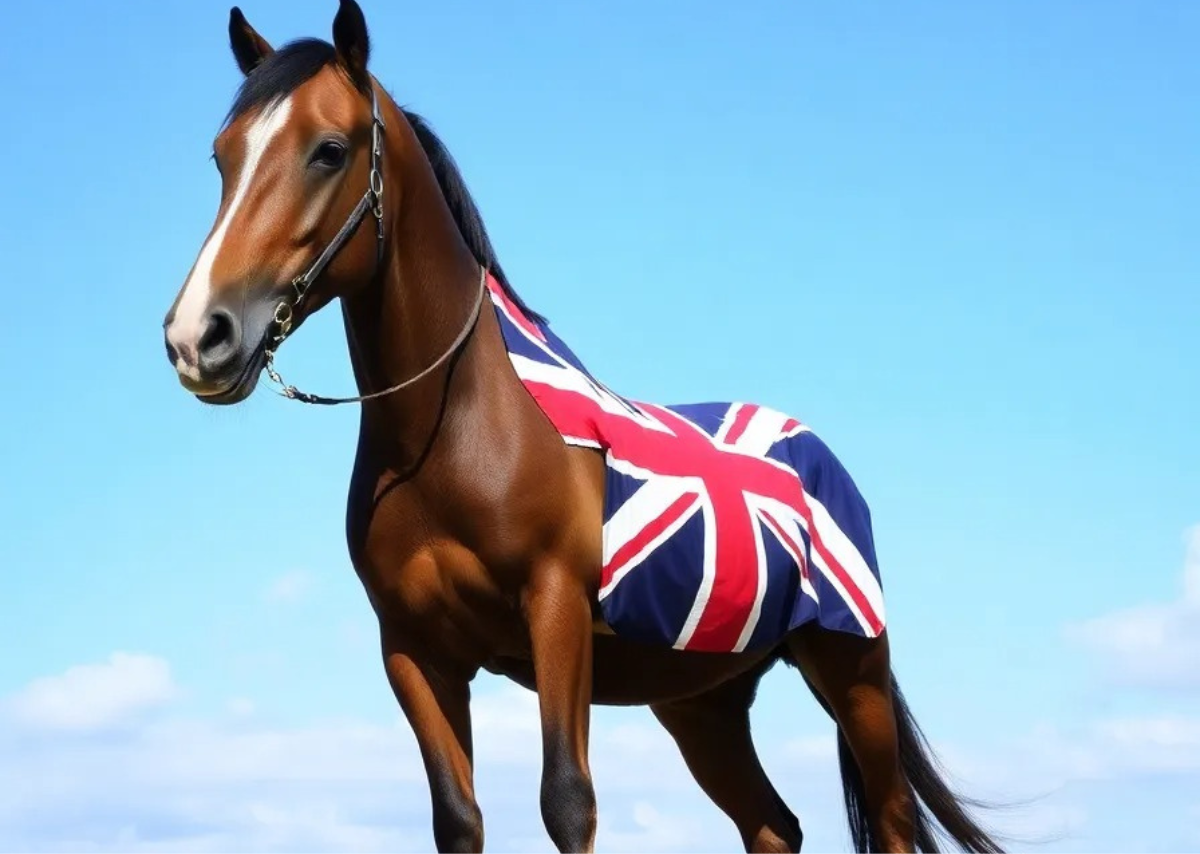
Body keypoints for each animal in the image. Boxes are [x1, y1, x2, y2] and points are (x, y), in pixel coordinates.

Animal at [160, 3, 1005, 852]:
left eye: (328, 151)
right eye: (221, 158)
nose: (200, 336)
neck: (455, 437)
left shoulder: (555, 609)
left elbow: (567, 800)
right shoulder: (414, 650)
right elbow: (457, 818)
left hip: (851, 671)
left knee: (890, 821)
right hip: (700, 701)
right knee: (772, 826)